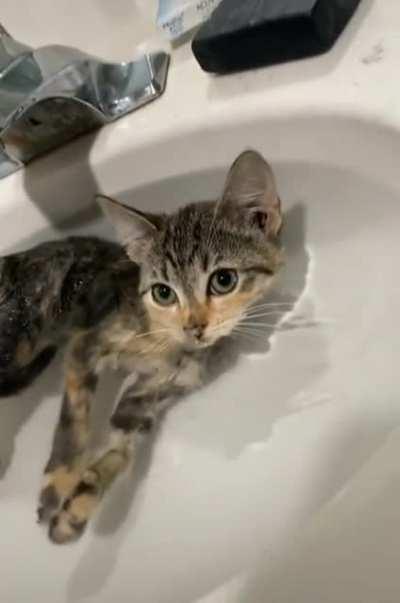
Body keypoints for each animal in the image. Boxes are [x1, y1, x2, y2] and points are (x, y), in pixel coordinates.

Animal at [0, 150, 282, 544]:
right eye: (163, 292)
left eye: (224, 280)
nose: (194, 327)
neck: (166, 344)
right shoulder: (85, 346)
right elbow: (75, 422)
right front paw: (57, 486)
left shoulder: (149, 395)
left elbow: (118, 452)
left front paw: (76, 511)